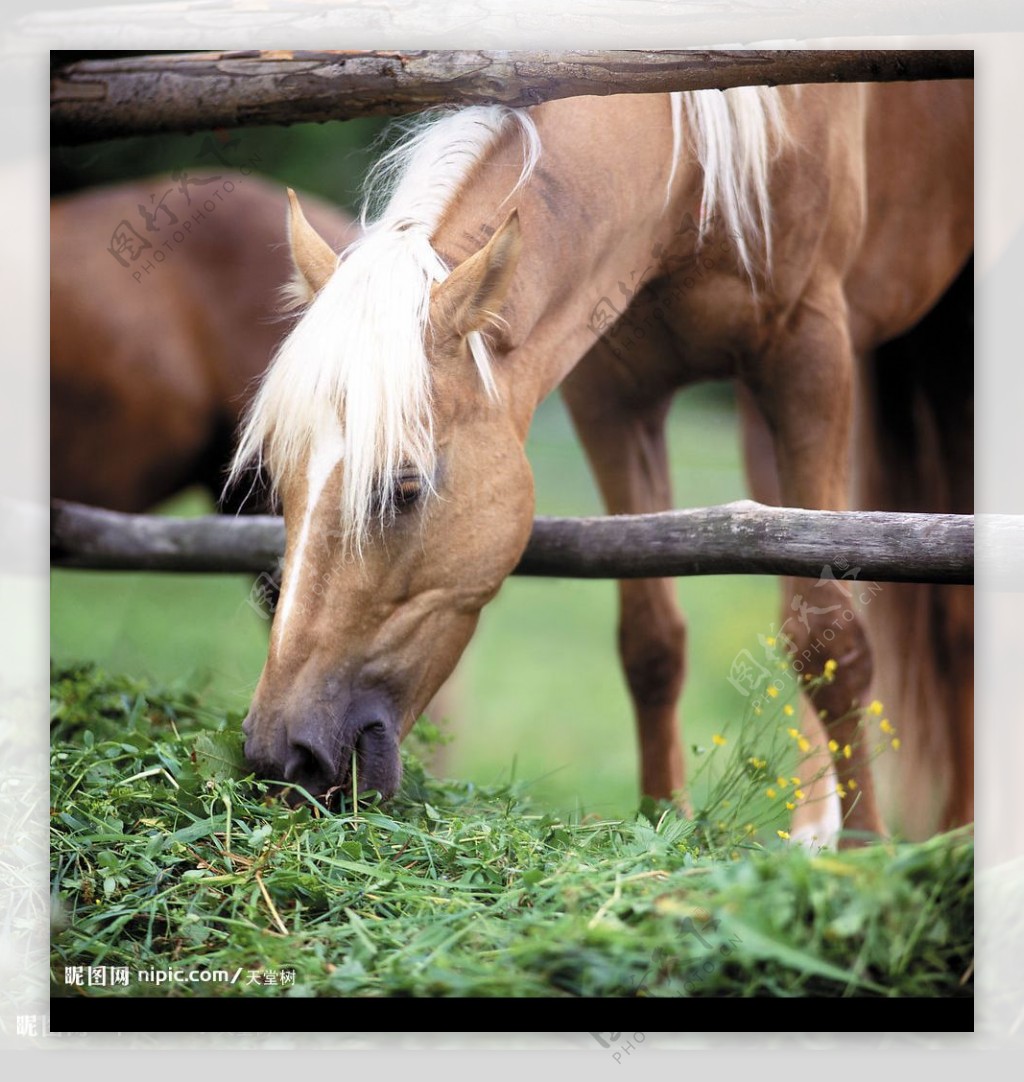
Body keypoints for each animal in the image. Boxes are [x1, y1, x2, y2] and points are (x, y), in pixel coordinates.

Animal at [231, 84, 974, 843]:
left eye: (404, 488)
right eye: (279, 484)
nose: (282, 757)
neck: (696, 172)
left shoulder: (811, 359)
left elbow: (832, 636)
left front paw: (863, 847)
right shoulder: (613, 397)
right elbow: (652, 641)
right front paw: (662, 821)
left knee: (952, 624)